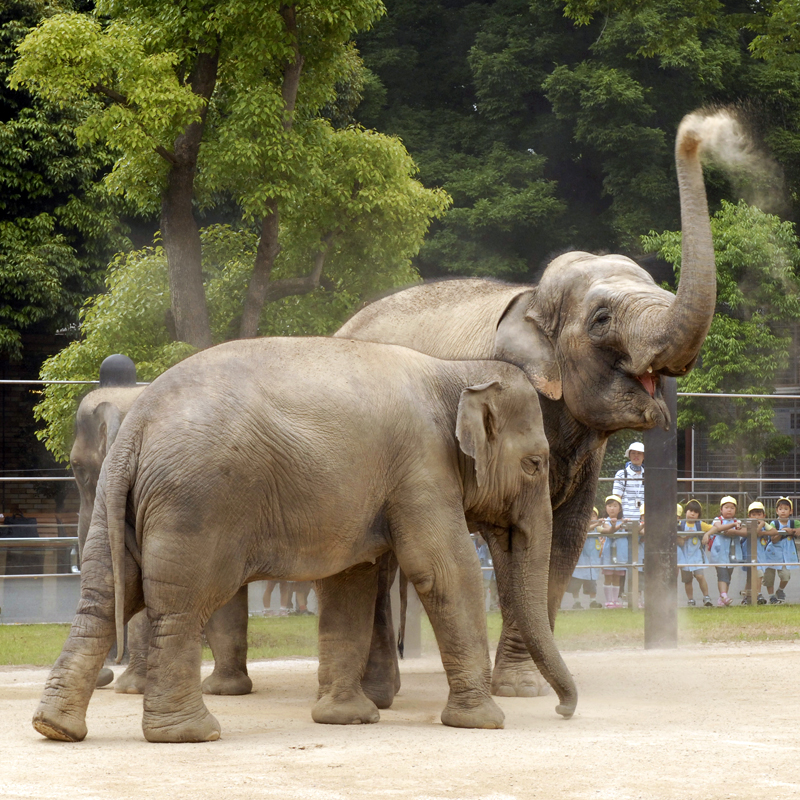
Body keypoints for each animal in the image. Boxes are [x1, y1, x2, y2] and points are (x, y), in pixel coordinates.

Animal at [335, 108, 727, 699]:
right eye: (601, 319)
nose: (698, 128)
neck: (533, 300)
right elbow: (515, 544)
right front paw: (520, 689)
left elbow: (563, 542)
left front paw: (530, 684)